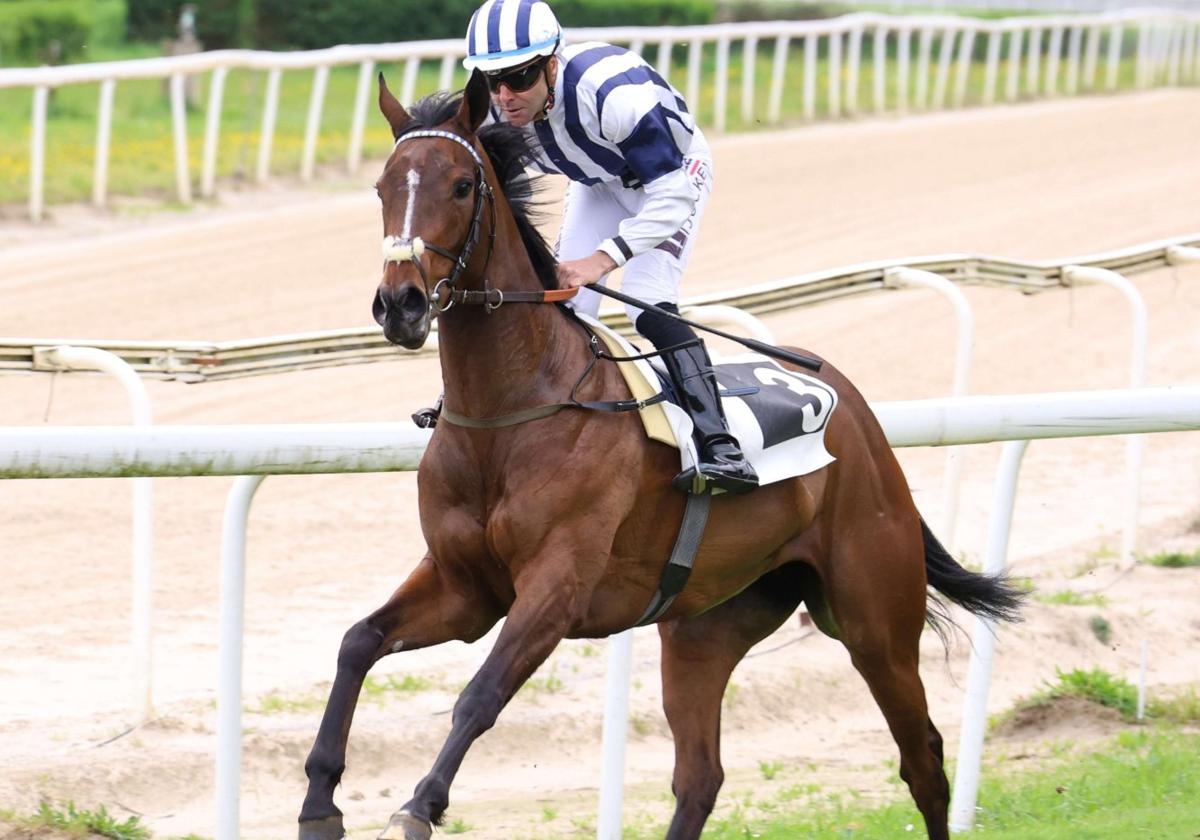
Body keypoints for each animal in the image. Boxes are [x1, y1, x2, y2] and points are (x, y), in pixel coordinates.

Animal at [297, 72, 1022, 840]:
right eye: (381, 186)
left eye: (463, 186)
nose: (400, 303)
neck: (511, 411)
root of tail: (855, 409)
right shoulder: (466, 587)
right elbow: (358, 641)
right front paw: (320, 801)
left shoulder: (556, 586)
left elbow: (481, 694)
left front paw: (418, 805)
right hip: (705, 627)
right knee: (700, 777)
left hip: (875, 618)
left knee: (923, 757)